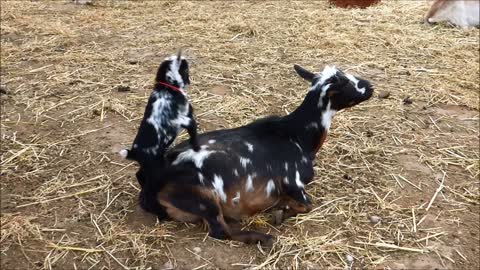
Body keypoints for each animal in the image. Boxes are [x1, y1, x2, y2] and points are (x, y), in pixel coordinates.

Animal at [142, 63, 376, 245]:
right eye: (345, 83)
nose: (370, 86)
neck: (297, 134)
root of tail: (153, 180)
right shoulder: (293, 181)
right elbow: (307, 206)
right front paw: (280, 214)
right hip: (203, 199)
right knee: (220, 231)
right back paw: (262, 238)